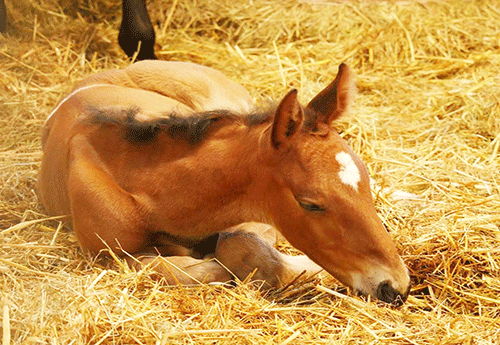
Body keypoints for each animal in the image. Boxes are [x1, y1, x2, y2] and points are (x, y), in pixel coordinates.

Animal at [38, 59, 410, 304]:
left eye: (365, 183)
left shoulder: (253, 215)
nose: (395, 286)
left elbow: (241, 248)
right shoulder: (106, 255)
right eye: (310, 204)